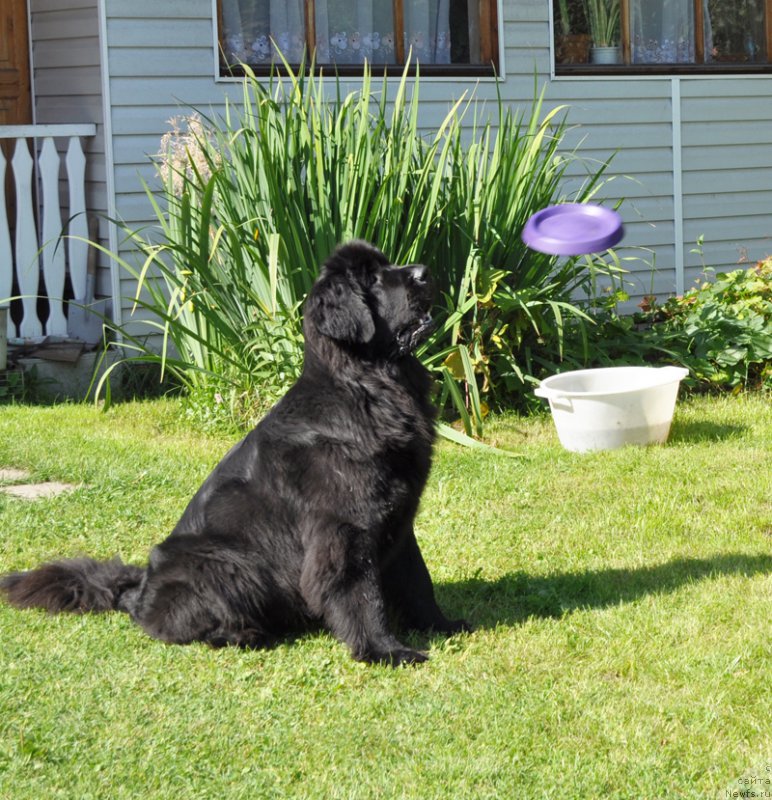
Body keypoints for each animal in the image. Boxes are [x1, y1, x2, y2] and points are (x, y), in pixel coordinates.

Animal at [0, 241, 464, 664]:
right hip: (228, 562)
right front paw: (386, 650)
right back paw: (245, 633)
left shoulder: (398, 516)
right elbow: (362, 594)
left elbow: (416, 578)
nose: (424, 272)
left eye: (388, 265)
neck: (368, 387)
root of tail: (138, 589)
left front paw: (443, 625)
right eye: (371, 279)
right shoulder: (344, 528)